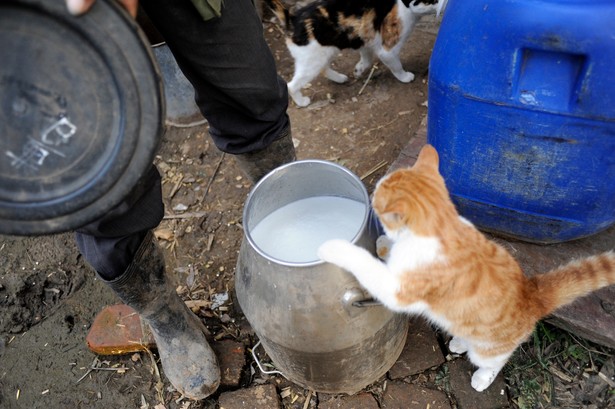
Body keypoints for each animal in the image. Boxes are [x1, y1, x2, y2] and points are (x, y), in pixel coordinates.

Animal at [320, 144, 615, 392]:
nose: (370, 197)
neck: (443, 224)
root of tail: (532, 293)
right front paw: (384, 244)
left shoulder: (398, 290)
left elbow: (367, 265)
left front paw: (335, 247)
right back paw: (460, 340)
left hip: (488, 350)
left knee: (495, 361)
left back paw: (482, 377)